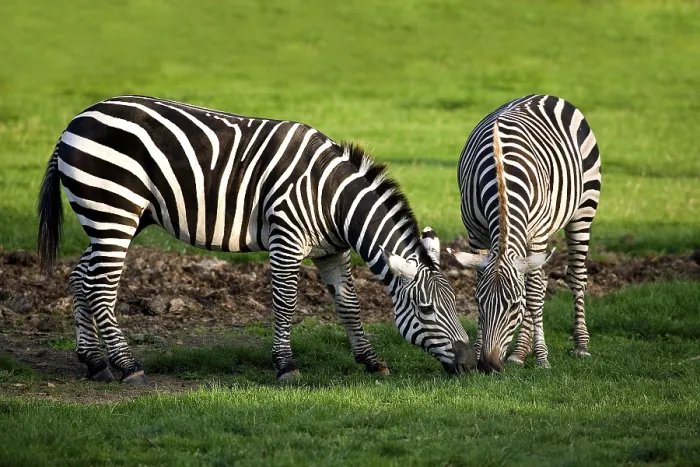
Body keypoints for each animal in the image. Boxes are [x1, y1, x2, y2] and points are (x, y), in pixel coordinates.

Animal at [37, 95, 476, 384]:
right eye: (425, 311)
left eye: (456, 305)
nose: (471, 364)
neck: (334, 199)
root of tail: (76, 119)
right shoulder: (287, 239)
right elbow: (285, 304)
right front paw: (286, 367)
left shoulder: (332, 251)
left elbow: (349, 306)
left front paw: (371, 361)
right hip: (113, 210)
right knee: (100, 286)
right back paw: (127, 366)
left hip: (113, 217)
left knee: (80, 277)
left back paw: (94, 362)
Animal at [447, 94, 601, 372]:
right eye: (479, 303)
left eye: (513, 306)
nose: (489, 365)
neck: (500, 178)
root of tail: (545, 95)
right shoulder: (475, 233)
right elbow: (487, 281)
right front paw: (478, 351)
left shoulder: (537, 234)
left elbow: (534, 293)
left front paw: (542, 357)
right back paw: (520, 352)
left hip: (584, 209)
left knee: (575, 276)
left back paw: (580, 345)